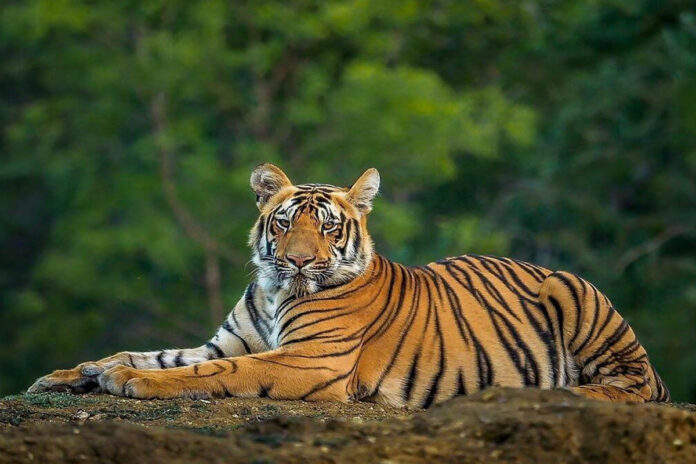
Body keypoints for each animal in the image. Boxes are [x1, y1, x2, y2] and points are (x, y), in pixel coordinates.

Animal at [28, 163, 670, 406]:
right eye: (284, 223)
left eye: (329, 228)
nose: (298, 262)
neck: (274, 290)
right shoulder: (225, 340)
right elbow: (152, 353)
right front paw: (75, 373)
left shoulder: (308, 360)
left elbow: (212, 372)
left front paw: (127, 381)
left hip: (577, 295)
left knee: (631, 388)